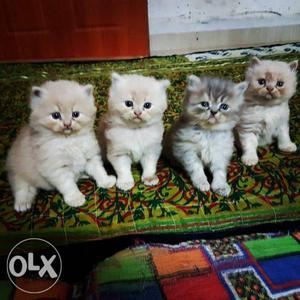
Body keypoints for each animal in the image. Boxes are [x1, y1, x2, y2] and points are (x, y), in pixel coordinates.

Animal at [7, 79, 115, 211]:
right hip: (19, 171)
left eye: (75, 114)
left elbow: (99, 171)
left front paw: (106, 181)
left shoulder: (90, 157)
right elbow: (68, 185)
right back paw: (22, 203)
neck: (70, 140)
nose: (67, 124)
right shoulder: (56, 168)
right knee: (21, 187)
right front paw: (75, 198)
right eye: (56, 115)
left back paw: (83, 175)